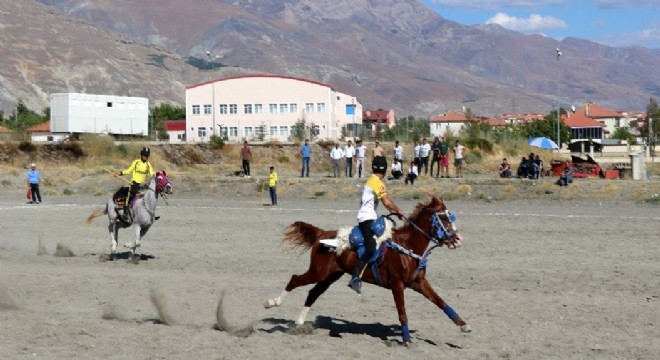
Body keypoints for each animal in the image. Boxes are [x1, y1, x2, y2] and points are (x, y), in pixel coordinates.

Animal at [262, 195, 470, 344]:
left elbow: (441, 302)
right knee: (294, 279)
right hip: (318, 272)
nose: (458, 239)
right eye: (443, 217)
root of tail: (321, 233)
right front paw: (406, 339)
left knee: (313, 293)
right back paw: (272, 303)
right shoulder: (397, 284)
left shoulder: (418, 282)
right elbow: (402, 312)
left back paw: (299, 323)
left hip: (331, 275)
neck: (407, 246)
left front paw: (463, 325)